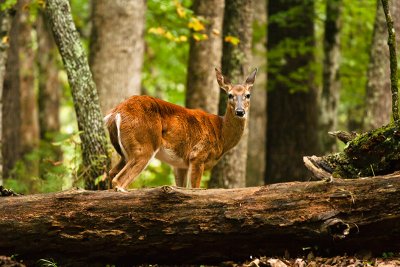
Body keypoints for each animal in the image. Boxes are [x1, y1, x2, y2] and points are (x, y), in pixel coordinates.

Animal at [104, 68, 258, 191]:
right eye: (230, 95)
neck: (221, 132)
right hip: (144, 145)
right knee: (119, 180)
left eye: (248, 95)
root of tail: (115, 112)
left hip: (126, 153)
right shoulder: (197, 155)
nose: (240, 111)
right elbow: (195, 188)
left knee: (111, 173)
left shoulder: (180, 164)